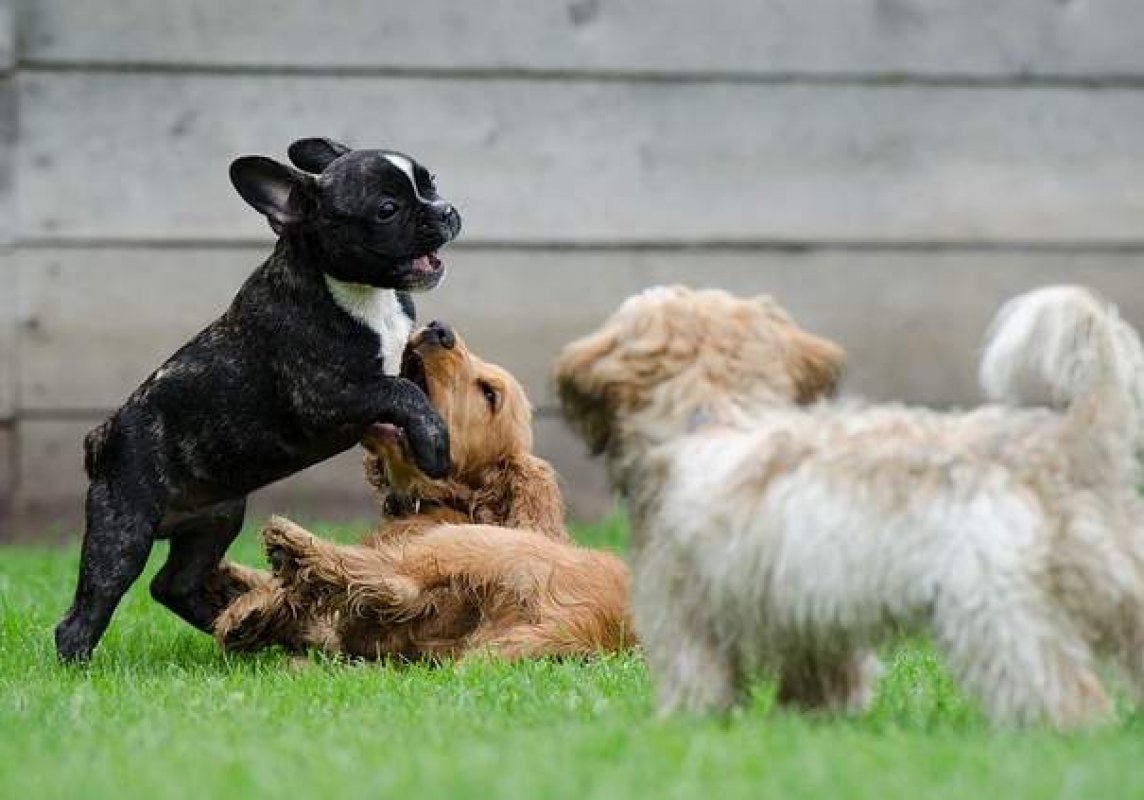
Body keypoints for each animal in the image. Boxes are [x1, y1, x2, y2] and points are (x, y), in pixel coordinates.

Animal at [215, 322, 636, 659]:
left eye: (489, 394)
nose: (439, 329)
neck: (444, 501)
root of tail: (587, 622)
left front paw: (252, 603)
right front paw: (237, 580)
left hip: (468, 545)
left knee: (392, 581)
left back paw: (288, 548)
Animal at [553, 286, 1144, 727]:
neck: (716, 414)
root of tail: (1069, 441)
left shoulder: (686, 610)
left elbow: (696, 677)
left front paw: (685, 725)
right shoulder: (813, 619)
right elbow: (823, 679)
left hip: (997, 609)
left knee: (1059, 687)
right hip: (1118, 586)